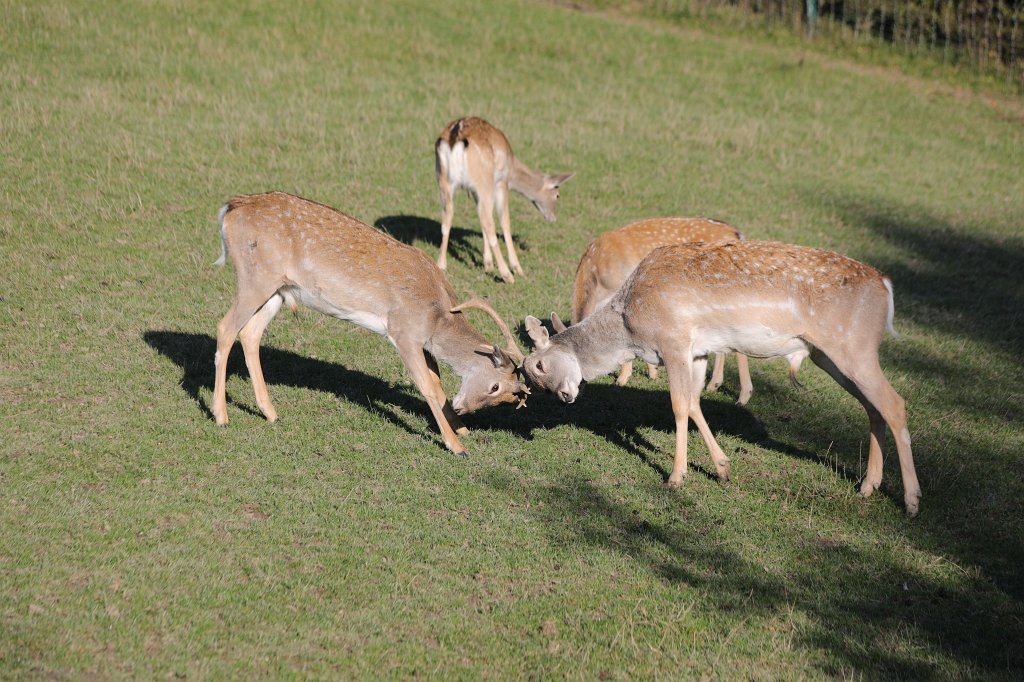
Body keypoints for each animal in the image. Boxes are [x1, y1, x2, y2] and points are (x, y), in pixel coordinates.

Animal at [212, 191, 530, 456]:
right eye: (495, 387)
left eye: (505, 398)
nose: (462, 409)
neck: (437, 315)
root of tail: (229, 209)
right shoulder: (403, 331)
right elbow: (427, 386)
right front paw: (457, 446)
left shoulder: (422, 342)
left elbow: (438, 384)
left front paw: (461, 430)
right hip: (256, 278)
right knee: (225, 328)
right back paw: (221, 416)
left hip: (278, 289)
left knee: (250, 334)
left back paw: (271, 412)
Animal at [434, 116, 574, 284]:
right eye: (557, 195)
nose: (553, 217)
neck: (512, 167)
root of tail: (455, 138)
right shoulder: (501, 182)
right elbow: (504, 220)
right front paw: (518, 269)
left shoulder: (474, 190)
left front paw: (487, 264)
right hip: (484, 181)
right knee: (488, 222)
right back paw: (507, 275)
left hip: (443, 180)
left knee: (448, 218)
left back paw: (441, 265)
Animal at [522, 240, 922, 516]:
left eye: (537, 366)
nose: (565, 396)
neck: (630, 328)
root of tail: (886, 287)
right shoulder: (698, 350)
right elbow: (694, 404)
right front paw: (723, 467)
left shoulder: (674, 341)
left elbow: (679, 405)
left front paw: (676, 477)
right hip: (830, 355)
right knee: (873, 408)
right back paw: (868, 486)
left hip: (853, 347)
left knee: (895, 404)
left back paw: (912, 501)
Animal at [568, 216, 756, 403]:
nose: (570, 396)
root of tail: (737, 233)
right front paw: (653, 372)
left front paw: (622, 379)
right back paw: (713, 385)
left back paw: (743, 396)